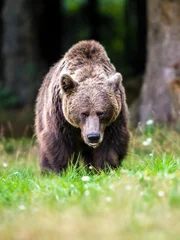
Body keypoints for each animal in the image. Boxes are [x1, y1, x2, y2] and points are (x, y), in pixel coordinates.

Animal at [34, 40, 129, 173]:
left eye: (101, 113)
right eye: (84, 113)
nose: (93, 136)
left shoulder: (115, 119)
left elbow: (111, 145)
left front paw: (105, 168)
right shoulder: (60, 117)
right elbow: (60, 143)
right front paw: (66, 170)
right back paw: (47, 171)